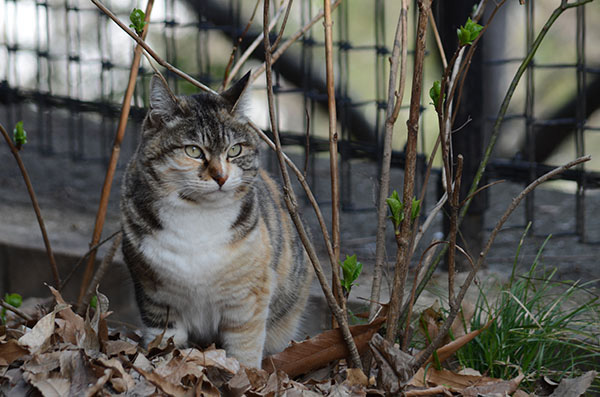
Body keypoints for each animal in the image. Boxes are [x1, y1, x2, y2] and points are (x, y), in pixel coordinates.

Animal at [119, 72, 312, 366]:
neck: (198, 217)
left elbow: (244, 346)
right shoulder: (155, 294)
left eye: (234, 150)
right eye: (193, 150)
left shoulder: (247, 298)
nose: (221, 176)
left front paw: (246, 372)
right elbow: (164, 341)